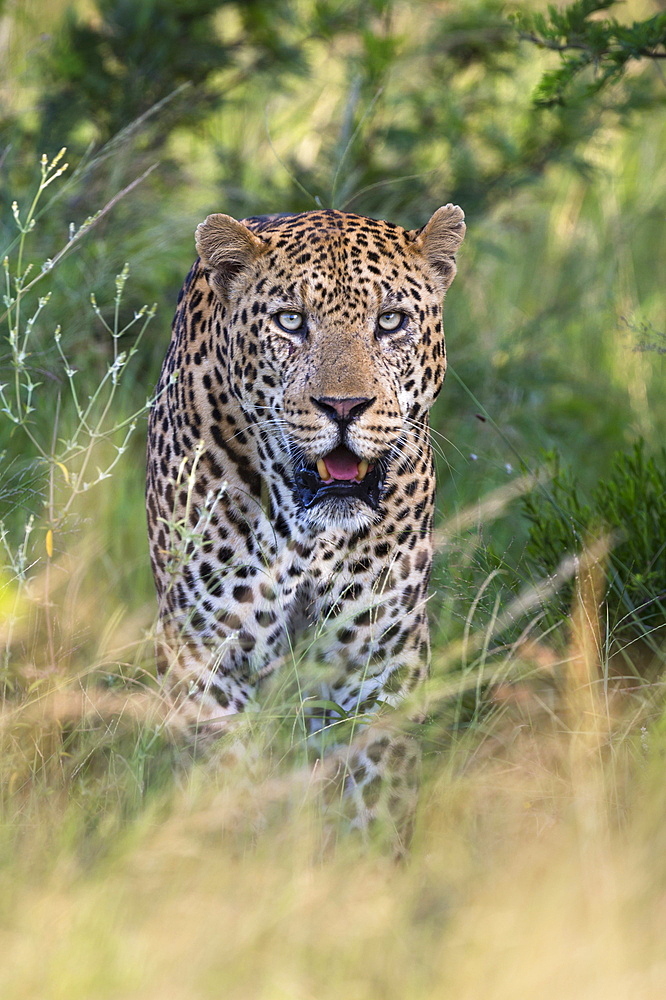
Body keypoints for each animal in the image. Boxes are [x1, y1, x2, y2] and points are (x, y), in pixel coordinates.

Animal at [146, 203, 466, 844]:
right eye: (291, 321)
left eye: (390, 321)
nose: (343, 407)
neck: (307, 533)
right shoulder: (206, 654)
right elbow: (228, 781)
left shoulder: (377, 660)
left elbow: (376, 795)